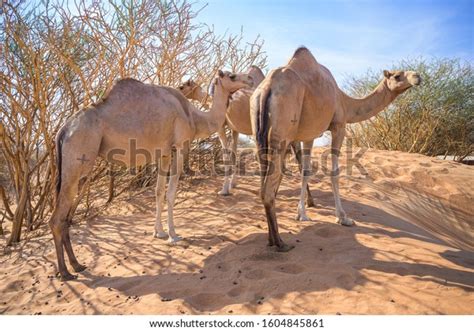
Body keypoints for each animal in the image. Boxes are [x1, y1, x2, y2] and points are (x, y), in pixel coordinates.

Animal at [50, 70, 254, 280]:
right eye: (231, 76)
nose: (250, 79)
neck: (194, 117)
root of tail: (63, 130)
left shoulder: (163, 153)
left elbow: (158, 191)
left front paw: (159, 232)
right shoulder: (179, 147)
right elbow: (171, 193)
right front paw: (173, 235)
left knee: (65, 218)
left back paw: (77, 265)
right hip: (77, 159)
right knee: (57, 219)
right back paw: (65, 272)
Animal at [178, 67, 314, 208]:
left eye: (182, 87)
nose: (177, 89)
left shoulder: (221, 127)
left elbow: (226, 156)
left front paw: (224, 190)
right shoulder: (234, 129)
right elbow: (233, 154)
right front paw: (233, 184)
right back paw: (305, 200)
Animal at [252, 47, 422, 252]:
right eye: (397, 76)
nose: (418, 76)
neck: (345, 101)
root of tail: (267, 88)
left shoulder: (309, 134)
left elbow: (305, 171)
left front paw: (302, 214)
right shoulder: (339, 125)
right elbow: (334, 172)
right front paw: (343, 217)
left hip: (260, 130)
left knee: (264, 182)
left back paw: (270, 239)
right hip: (283, 129)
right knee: (268, 189)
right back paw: (280, 243)